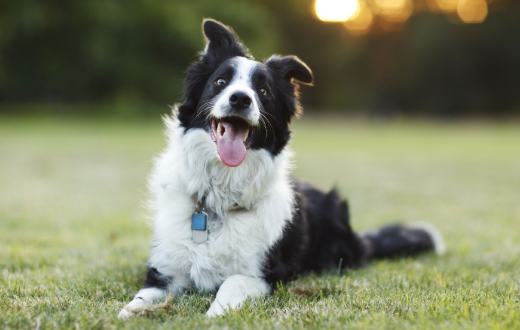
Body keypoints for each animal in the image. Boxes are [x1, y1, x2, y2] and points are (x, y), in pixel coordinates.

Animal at [118, 18, 442, 320]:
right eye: (221, 82)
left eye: (263, 91)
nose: (240, 98)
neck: (220, 200)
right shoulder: (164, 270)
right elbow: (143, 296)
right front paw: (130, 312)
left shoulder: (269, 274)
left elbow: (233, 281)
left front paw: (215, 313)